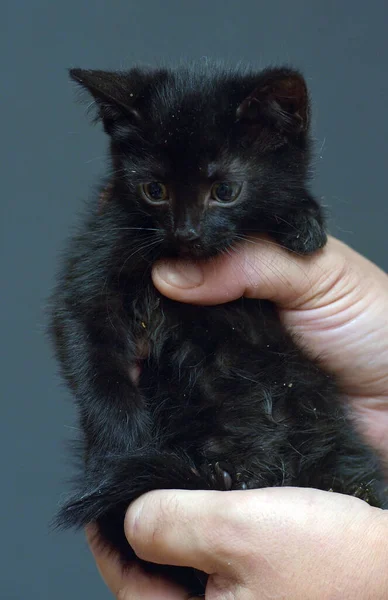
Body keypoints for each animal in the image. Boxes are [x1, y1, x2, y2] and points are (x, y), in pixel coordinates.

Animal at [49, 62, 384, 596]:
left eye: (225, 191)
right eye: (154, 190)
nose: (186, 232)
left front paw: (302, 221)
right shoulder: (95, 263)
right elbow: (95, 356)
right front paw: (119, 443)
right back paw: (224, 472)